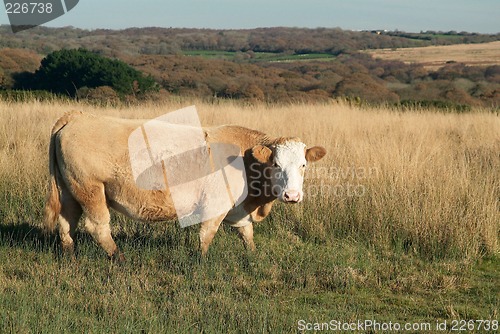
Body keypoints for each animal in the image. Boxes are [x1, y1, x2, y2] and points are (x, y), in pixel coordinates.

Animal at [42, 111, 324, 260]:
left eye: (303, 165)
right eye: (276, 163)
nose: (292, 195)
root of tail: (78, 117)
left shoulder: (238, 209)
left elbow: (246, 233)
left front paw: (253, 255)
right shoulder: (215, 206)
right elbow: (207, 235)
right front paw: (201, 261)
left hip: (69, 191)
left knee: (66, 223)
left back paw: (70, 255)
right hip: (90, 190)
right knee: (97, 226)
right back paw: (118, 257)